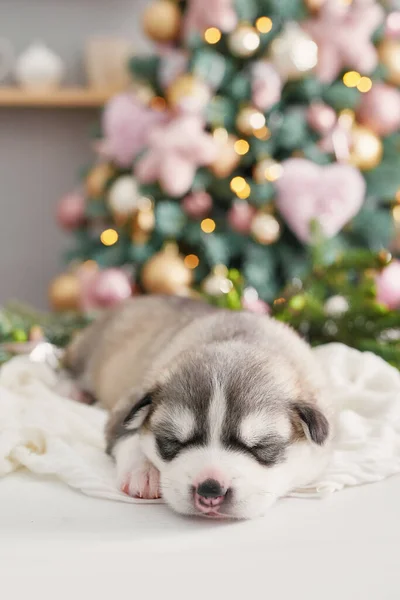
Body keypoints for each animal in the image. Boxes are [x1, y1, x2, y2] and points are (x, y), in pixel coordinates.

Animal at [65, 298, 334, 516]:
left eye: (261, 446)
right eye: (172, 441)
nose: (210, 490)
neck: (238, 338)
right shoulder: (128, 402)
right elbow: (129, 435)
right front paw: (143, 472)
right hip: (88, 352)